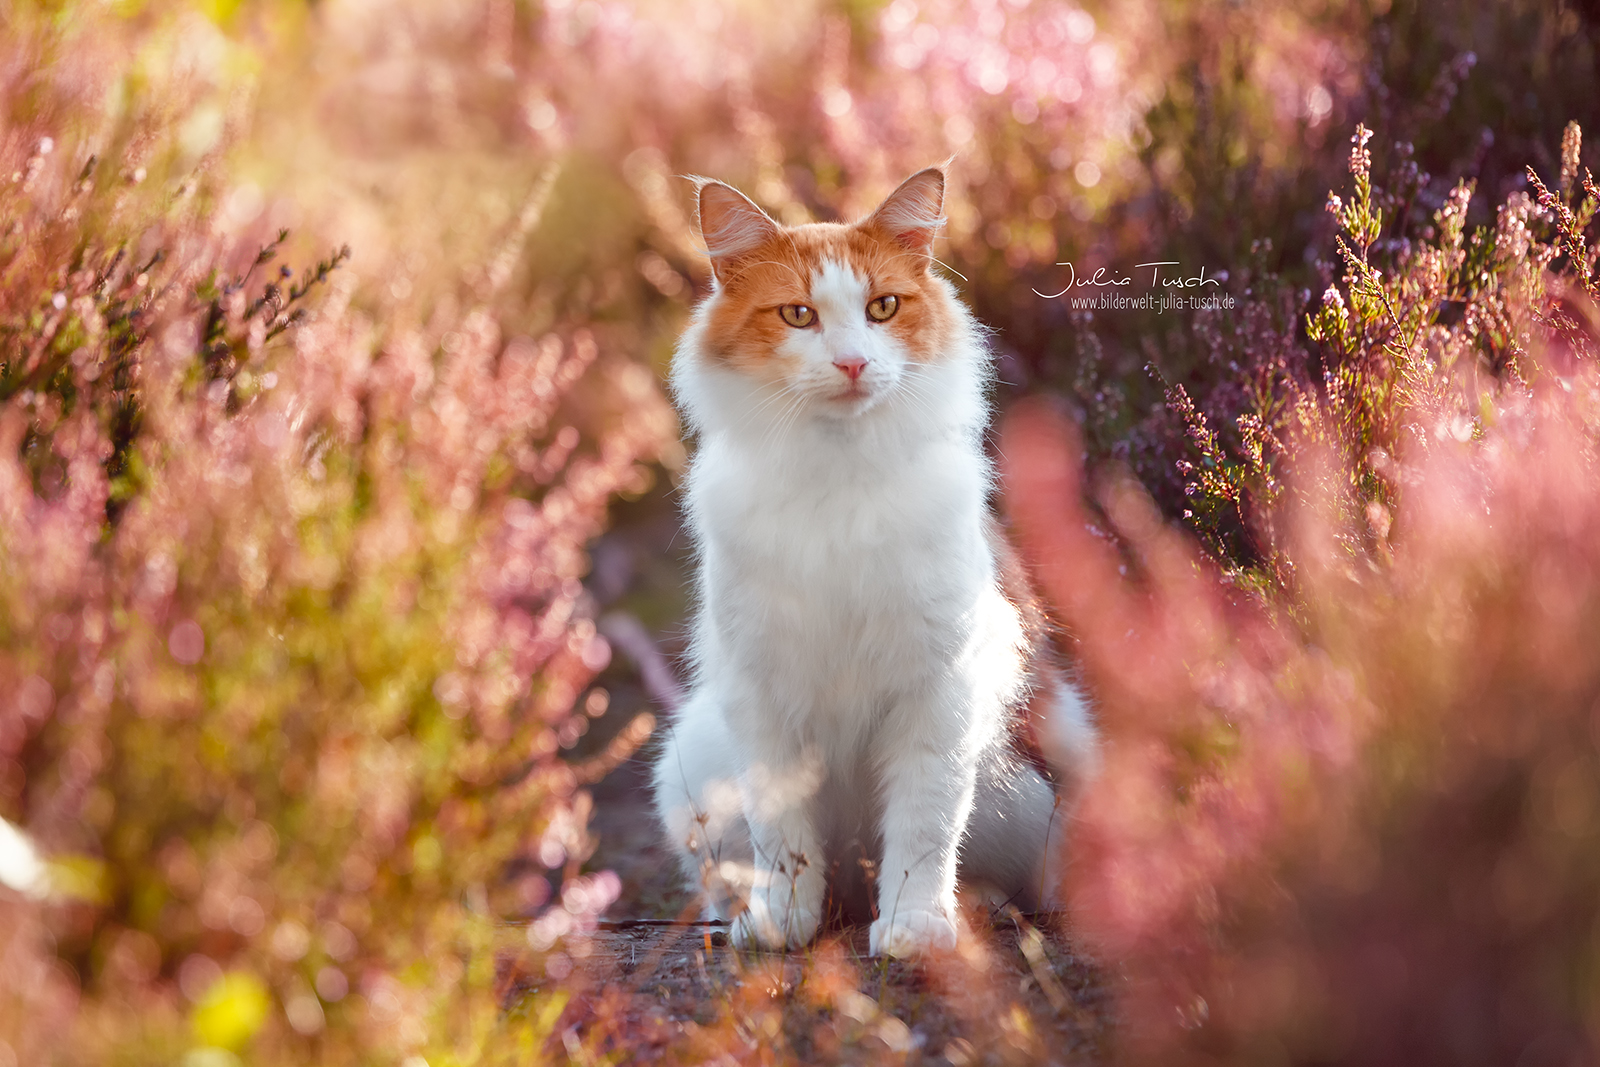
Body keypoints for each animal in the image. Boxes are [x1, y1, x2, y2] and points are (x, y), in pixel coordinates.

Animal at [649, 167, 1100, 959]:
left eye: (882, 307)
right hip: (691, 758)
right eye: (798, 315)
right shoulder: (763, 694)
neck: (839, 474)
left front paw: (915, 927)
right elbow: (783, 837)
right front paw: (781, 922)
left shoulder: (938, 690)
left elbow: (924, 828)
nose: (854, 362)